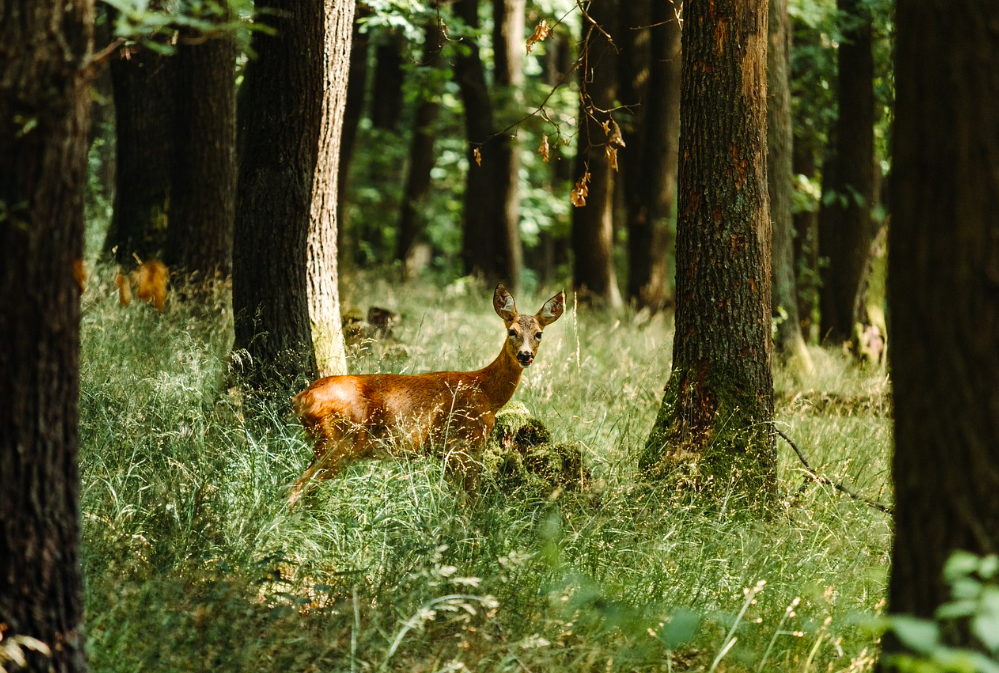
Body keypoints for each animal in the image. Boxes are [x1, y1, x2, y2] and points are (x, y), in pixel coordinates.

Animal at [288, 282, 564, 504]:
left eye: (539, 333)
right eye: (512, 331)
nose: (525, 355)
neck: (486, 392)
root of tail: (300, 399)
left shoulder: (448, 452)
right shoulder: (463, 445)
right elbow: (470, 501)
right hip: (337, 442)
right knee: (297, 487)